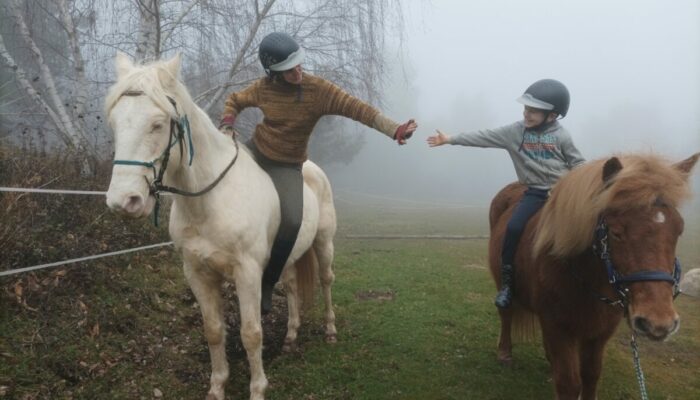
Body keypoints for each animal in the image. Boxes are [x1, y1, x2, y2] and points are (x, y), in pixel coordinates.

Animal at [104, 53, 338, 400]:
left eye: (158, 124)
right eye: (116, 123)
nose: (124, 201)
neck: (209, 201)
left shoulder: (247, 273)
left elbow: (251, 333)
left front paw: (257, 389)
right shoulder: (197, 273)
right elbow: (213, 331)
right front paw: (217, 387)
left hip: (323, 243)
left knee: (325, 280)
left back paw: (331, 330)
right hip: (289, 255)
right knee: (293, 286)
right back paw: (291, 337)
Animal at [489, 152, 699, 399]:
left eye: (679, 230)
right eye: (616, 232)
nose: (658, 323)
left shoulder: (599, 332)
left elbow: (590, 375)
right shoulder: (559, 328)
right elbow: (569, 383)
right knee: (506, 315)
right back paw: (505, 353)